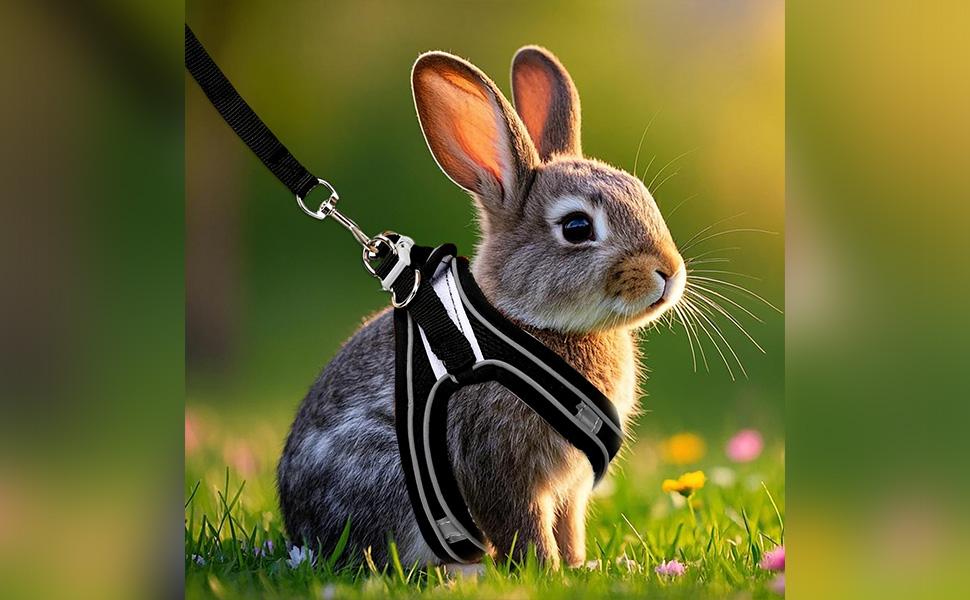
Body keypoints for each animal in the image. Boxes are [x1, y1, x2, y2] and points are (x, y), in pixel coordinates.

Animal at [277, 46, 687, 570]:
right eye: (576, 227)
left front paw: (579, 565)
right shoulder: (498, 465)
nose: (668, 271)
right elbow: (523, 525)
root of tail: (301, 536)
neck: (528, 324)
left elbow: (568, 524)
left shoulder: (568, 489)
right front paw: (546, 571)